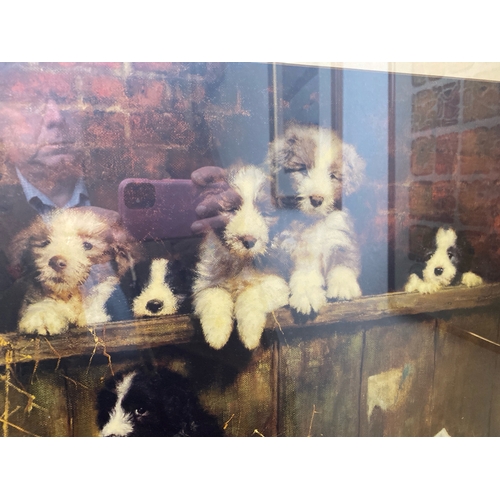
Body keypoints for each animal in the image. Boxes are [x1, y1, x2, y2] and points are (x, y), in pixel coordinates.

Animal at [193, 166, 292, 350]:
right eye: (231, 209)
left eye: (265, 213)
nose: (248, 240)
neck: (241, 261)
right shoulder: (205, 283)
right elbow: (213, 296)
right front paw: (216, 335)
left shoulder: (278, 282)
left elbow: (252, 292)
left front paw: (250, 334)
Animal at [266, 122, 368, 314]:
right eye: (303, 170)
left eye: (332, 176)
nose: (317, 199)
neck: (312, 222)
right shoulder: (296, 247)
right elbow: (305, 274)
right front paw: (307, 295)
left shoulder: (340, 234)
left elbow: (344, 261)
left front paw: (343, 286)